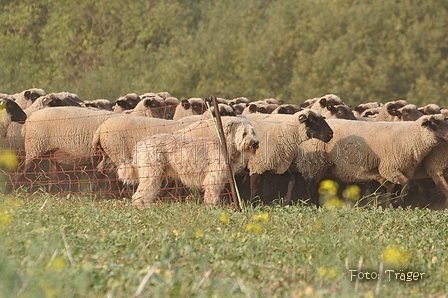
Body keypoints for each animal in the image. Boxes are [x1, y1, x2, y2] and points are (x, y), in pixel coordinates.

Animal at [117, 118, 260, 207]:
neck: (226, 146)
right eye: (244, 133)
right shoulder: (213, 179)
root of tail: (141, 143)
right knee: (138, 196)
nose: (255, 143)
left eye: (253, 132)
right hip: (151, 175)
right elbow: (212, 196)